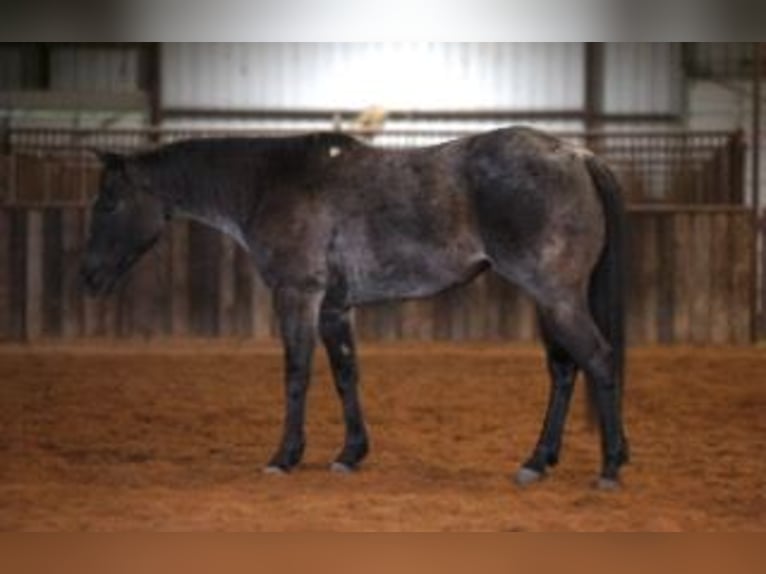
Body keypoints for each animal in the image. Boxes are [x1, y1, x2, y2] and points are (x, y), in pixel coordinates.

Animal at [80, 127, 629, 489]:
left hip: (556, 297)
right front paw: (349, 454)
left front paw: (284, 456)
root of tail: (576, 154)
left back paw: (609, 467)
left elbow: (296, 372)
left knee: (599, 361)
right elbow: (346, 373)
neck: (270, 182)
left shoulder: (298, 294)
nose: (87, 278)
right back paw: (538, 461)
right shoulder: (335, 307)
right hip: (550, 301)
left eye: (107, 204)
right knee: (564, 370)